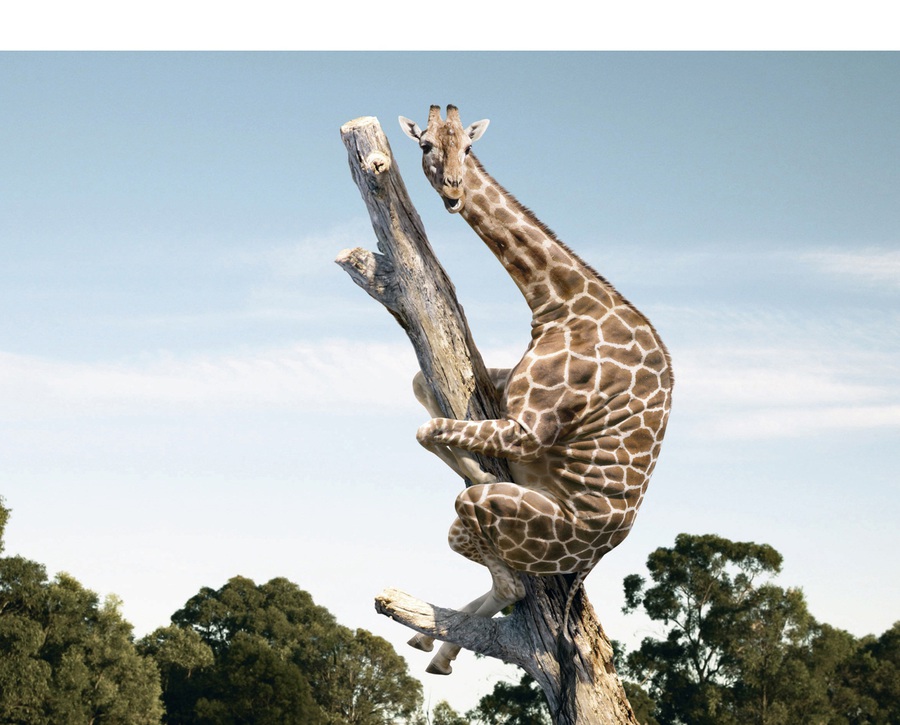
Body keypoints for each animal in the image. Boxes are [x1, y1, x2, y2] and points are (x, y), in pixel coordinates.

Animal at [398, 105, 673, 675]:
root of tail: (594, 556)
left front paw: (479, 467)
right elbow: (421, 390)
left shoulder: (528, 429)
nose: (454, 191)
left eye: (469, 148)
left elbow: (428, 428)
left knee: (509, 582)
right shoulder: (503, 395)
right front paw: (470, 459)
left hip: (499, 518)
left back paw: (438, 646)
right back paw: (432, 648)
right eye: (426, 145)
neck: (560, 302)